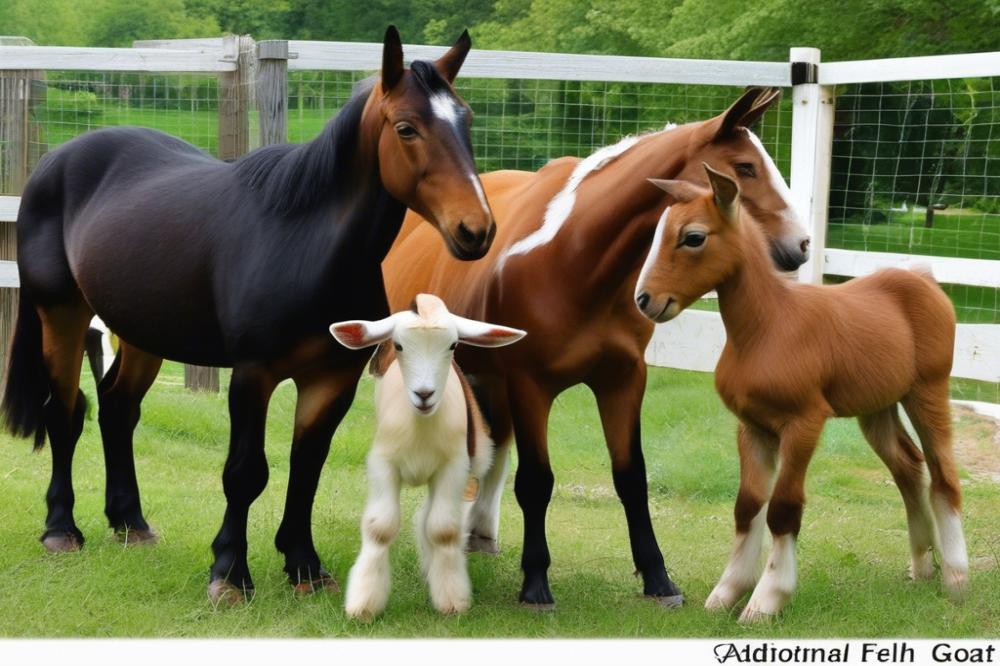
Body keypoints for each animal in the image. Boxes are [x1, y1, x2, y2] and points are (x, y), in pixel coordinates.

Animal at [2, 26, 496, 600]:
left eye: (465, 119)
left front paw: (304, 565)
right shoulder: (252, 375)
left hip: (143, 334)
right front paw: (230, 573)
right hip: (61, 316)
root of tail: (54, 163)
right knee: (65, 412)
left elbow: (307, 467)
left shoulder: (332, 378)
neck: (307, 244)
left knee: (118, 409)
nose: (476, 230)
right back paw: (61, 528)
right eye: (406, 128)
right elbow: (245, 472)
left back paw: (130, 523)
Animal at [382, 85, 812, 604]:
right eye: (745, 167)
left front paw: (657, 577)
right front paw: (536, 581)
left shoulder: (622, 379)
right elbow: (536, 480)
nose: (801, 245)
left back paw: (478, 532)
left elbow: (631, 476)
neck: (575, 261)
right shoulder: (530, 386)